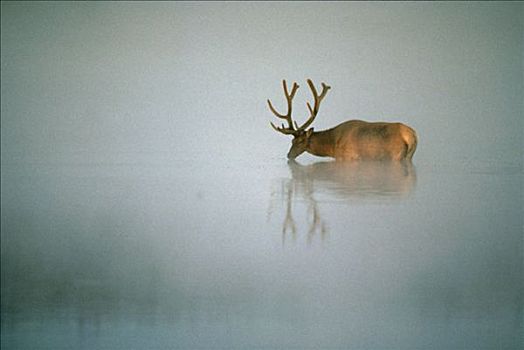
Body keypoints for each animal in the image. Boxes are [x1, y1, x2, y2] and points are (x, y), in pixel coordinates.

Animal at [268, 79, 420, 160]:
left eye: (300, 141)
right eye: (292, 141)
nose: (289, 155)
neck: (332, 147)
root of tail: (412, 136)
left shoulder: (348, 157)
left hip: (396, 155)